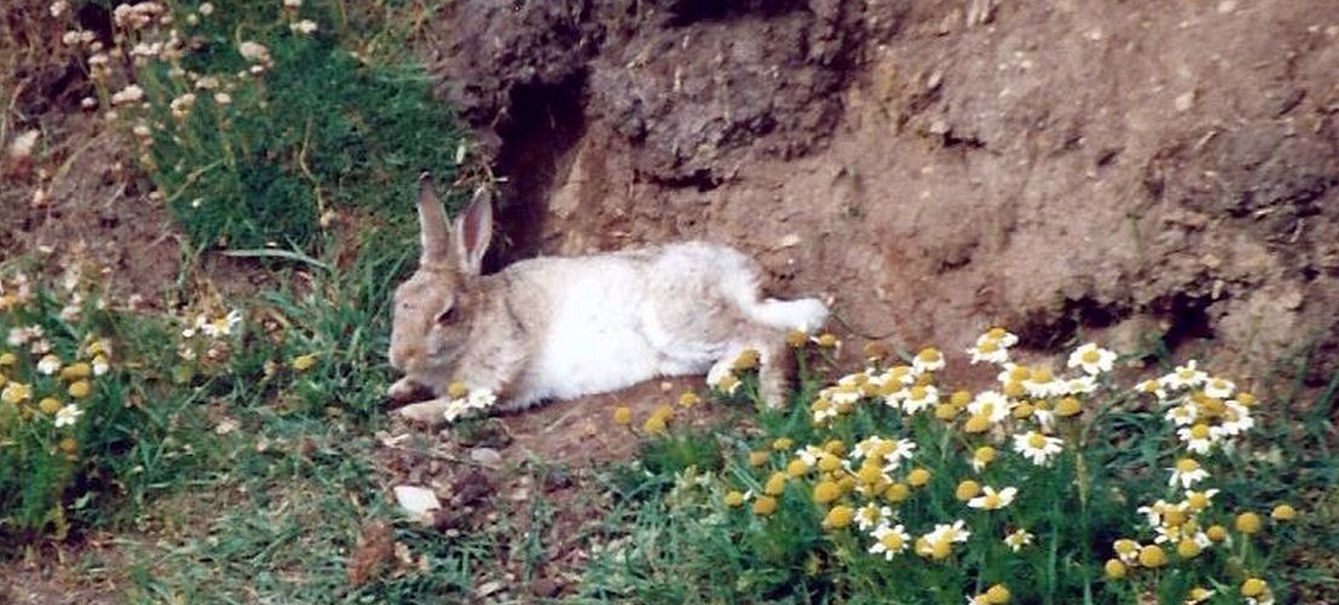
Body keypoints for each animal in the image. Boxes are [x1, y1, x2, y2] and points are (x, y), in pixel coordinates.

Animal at [385, 169, 824, 425]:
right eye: (399, 298)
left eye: (446, 313)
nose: (399, 357)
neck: (474, 325)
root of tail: (739, 280)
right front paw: (398, 389)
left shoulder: (498, 370)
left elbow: (462, 402)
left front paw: (412, 413)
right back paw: (722, 376)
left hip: (680, 323)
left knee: (770, 338)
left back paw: (772, 399)